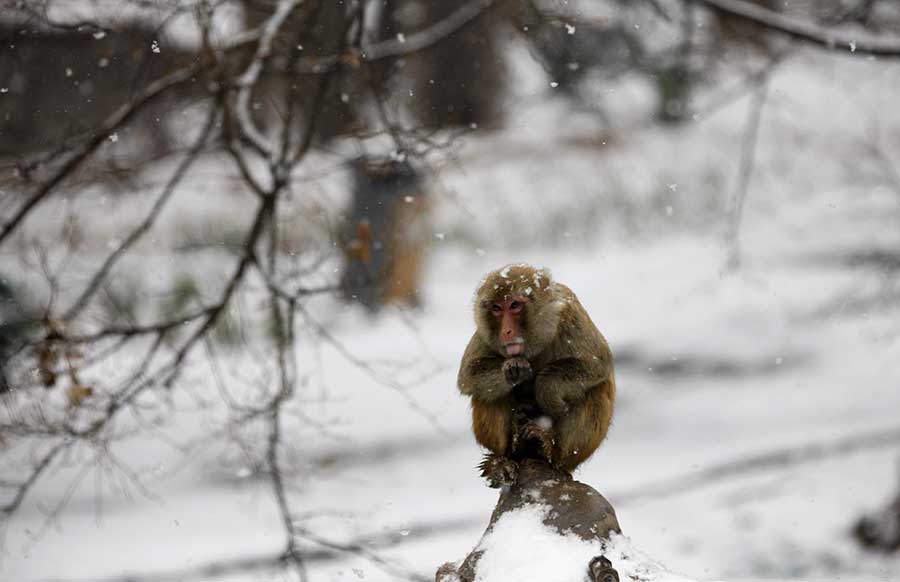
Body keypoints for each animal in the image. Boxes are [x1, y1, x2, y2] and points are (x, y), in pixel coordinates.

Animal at [460, 266, 616, 486]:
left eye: (515, 305)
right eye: (496, 308)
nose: (507, 332)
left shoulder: (570, 316)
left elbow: (599, 363)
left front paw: (545, 389)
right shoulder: (484, 334)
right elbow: (468, 376)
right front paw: (512, 369)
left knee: (596, 391)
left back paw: (551, 452)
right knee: (488, 393)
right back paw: (504, 459)